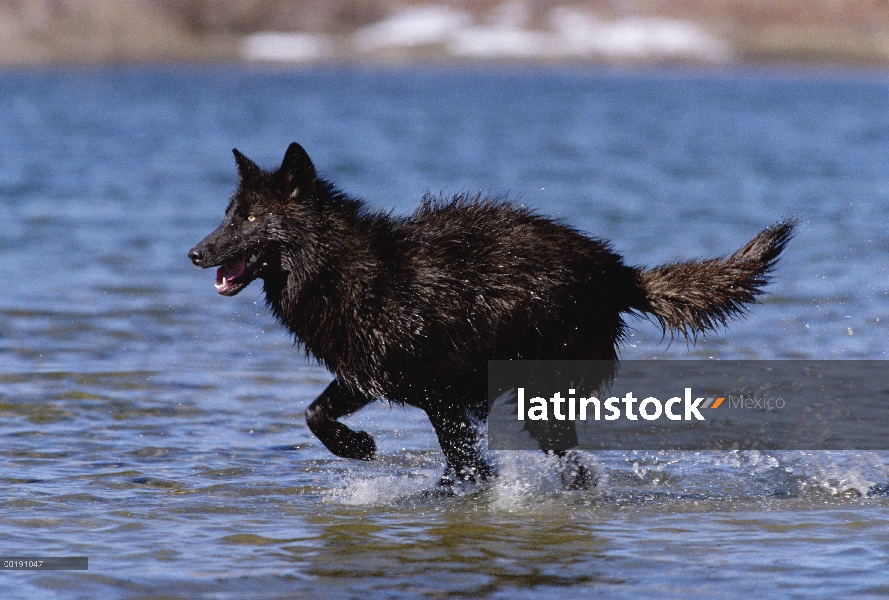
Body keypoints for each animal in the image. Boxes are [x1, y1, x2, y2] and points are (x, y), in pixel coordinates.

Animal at [187, 143, 792, 486]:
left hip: (543, 399)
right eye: (227, 214)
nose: (194, 253)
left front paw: (368, 454)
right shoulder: (394, 385)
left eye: (251, 218)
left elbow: (455, 461)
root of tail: (619, 272)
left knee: (574, 467)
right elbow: (319, 415)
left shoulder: (420, 390)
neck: (345, 268)